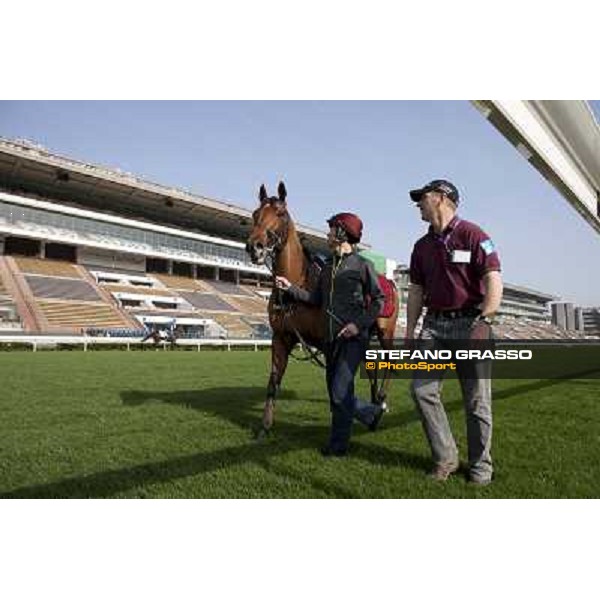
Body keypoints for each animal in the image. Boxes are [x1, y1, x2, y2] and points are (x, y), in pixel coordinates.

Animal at [244, 180, 398, 434]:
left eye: (280, 213)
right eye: (256, 214)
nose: (254, 247)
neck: (298, 286)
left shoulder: (328, 344)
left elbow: (334, 385)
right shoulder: (281, 338)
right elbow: (273, 382)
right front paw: (265, 427)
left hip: (386, 332)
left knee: (390, 364)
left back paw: (381, 403)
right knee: (370, 368)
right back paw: (375, 402)